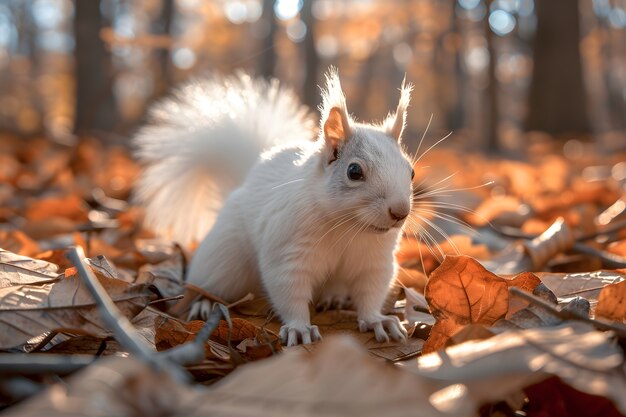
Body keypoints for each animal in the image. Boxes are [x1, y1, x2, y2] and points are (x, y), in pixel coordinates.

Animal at [133, 68, 412, 346]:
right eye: (354, 171)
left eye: (411, 171)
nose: (400, 212)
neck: (349, 227)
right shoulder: (289, 251)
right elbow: (290, 291)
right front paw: (299, 327)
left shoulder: (374, 260)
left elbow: (371, 292)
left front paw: (377, 320)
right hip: (223, 260)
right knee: (209, 285)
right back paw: (204, 303)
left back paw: (333, 298)